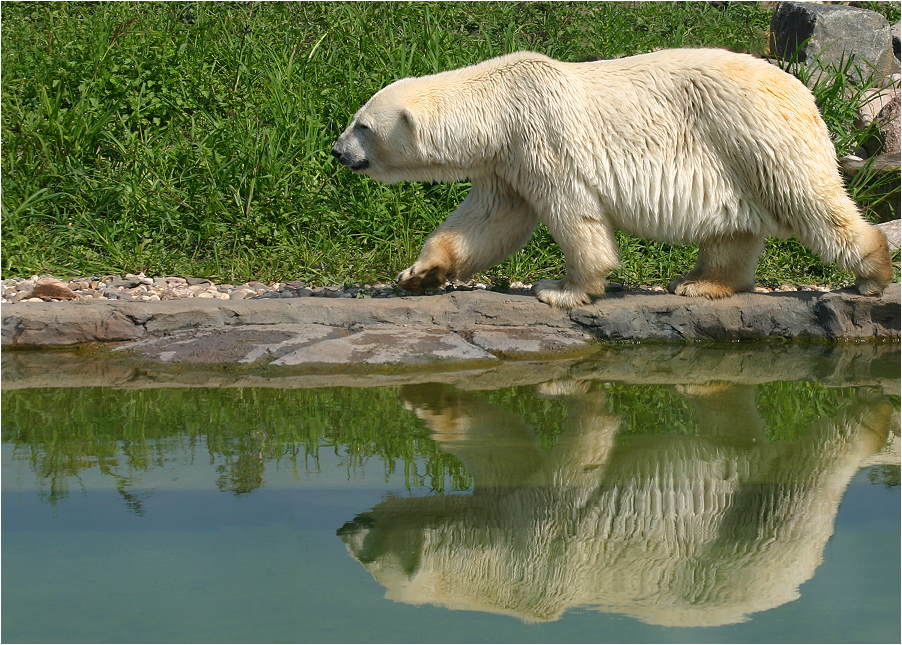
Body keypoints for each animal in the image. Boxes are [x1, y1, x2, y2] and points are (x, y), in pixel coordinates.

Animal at [330, 49, 888, 306]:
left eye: (362, 126)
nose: (336, 151)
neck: (501, 105)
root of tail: (804, 93)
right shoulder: (507, 162)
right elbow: (486, 222)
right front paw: (419, 274)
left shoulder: (541, 140)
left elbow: (573, 215)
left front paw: (561, 289)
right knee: (733, 227)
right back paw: (698, 283)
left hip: (755, 134)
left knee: (809, 200)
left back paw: (872, 272)